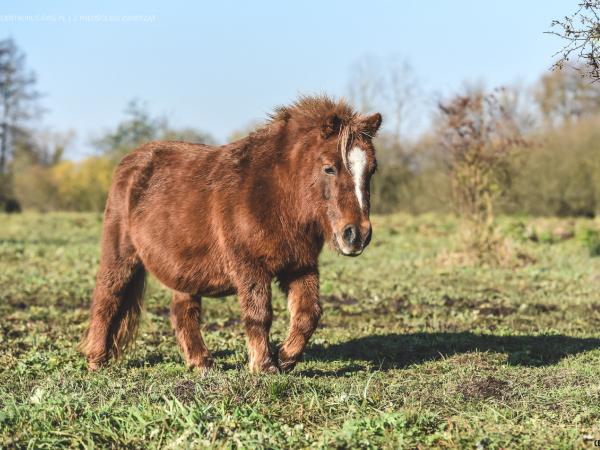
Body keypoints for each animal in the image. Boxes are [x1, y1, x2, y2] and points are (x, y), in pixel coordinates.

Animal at [82, 96, 382, 374]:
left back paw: (202, 363)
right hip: (121, 256)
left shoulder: (301, 265)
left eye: (371, 170)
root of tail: (130, 163)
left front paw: (285, 357)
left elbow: (309, 314)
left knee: (182, 312)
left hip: (184, 270)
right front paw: (264, 365)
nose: (357, 235)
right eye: (329, 168)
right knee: (107, 299)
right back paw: (96, 361)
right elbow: (259, 314)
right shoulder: (250, 267)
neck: (277, 195)